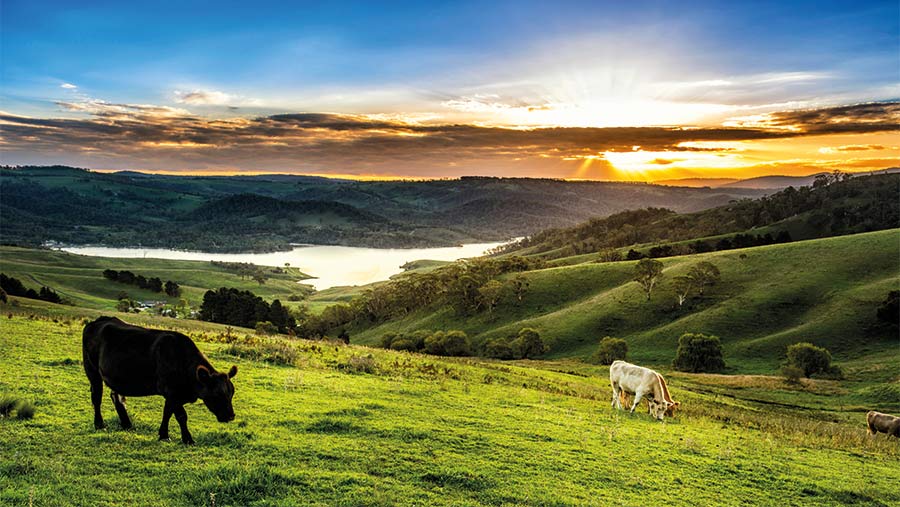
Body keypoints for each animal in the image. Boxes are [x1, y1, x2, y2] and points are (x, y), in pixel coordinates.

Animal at [82, 318, 237, 444]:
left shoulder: (173, 395)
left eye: (231, 393)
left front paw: (163, 435)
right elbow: (181, 416)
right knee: (96, 397)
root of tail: (96, 321)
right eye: (216, 394)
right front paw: (187, 439)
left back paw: (127, 425)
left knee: (117, 397)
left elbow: (167, 413)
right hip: (92, 370)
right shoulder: (171, 391)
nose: (230, 416)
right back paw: (100, 425)